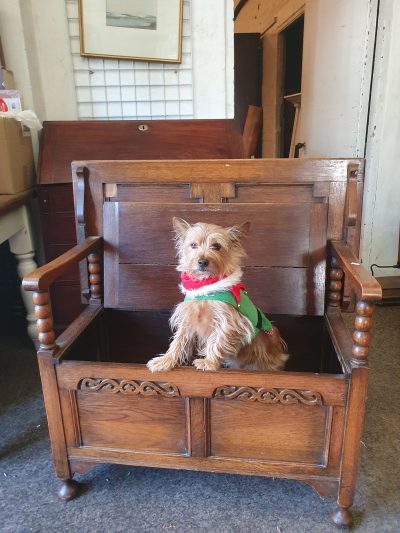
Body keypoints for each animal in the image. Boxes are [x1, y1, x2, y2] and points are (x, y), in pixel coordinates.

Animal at [147, 218, 288, 372]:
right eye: (193, 245)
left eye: (216, 246)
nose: (202, 262)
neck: (205, 288)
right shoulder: (188, 318)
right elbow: (179, 340)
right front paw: (166, 360)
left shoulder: (227, 319)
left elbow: (218, 339)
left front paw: (208, 362)